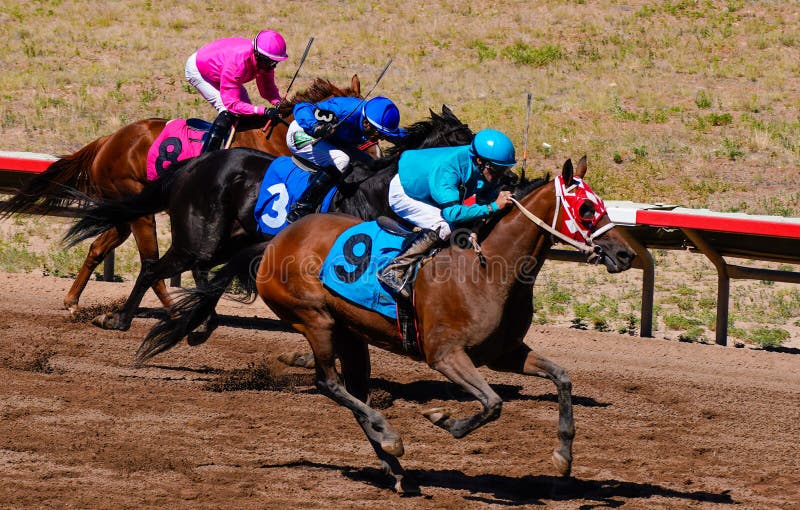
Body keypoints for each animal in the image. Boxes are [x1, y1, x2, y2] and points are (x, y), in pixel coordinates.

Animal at [0, 75, 362, 314]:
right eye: (361, 119)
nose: (369, 154)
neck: (278, 136)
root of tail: (108, 140)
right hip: (140, 210)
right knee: (150, 261)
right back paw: (169, 309)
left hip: (125, 212)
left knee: (98, 248)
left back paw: (73, 301)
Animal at [65, 105, 476, 340]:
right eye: (467, 141)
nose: (485, 182)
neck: (374, 188)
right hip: (189, 233)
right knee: (153, 266)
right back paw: (121, 319)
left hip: (224, 237)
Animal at [134, 156, 636, 494]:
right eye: (586, 209)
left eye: (602, 204)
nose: (626, 253)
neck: (490, 269)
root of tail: (274, 241)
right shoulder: (445, 356)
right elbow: (492, 404)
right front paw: (443, 419)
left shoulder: (504, 353)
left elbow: (562, 378)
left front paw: (563, 458)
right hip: (315, 320)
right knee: (328, 384)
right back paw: (391, 439)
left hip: (352, 334)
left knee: (353, 390)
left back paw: (395, 469)